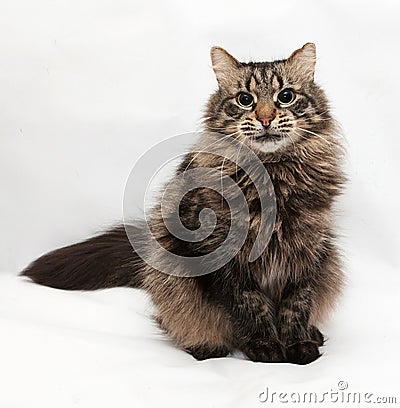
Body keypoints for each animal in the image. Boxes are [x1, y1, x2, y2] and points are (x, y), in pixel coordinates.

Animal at [22, 43, 346, 364]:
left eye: (286, 96)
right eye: (245, 100)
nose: (265, 119)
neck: (271, 177)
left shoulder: (308, 252)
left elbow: (297, 306)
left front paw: (299, 345)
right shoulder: (223, 255)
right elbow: (251, 306)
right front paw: (266, 347)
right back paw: (207, 347)